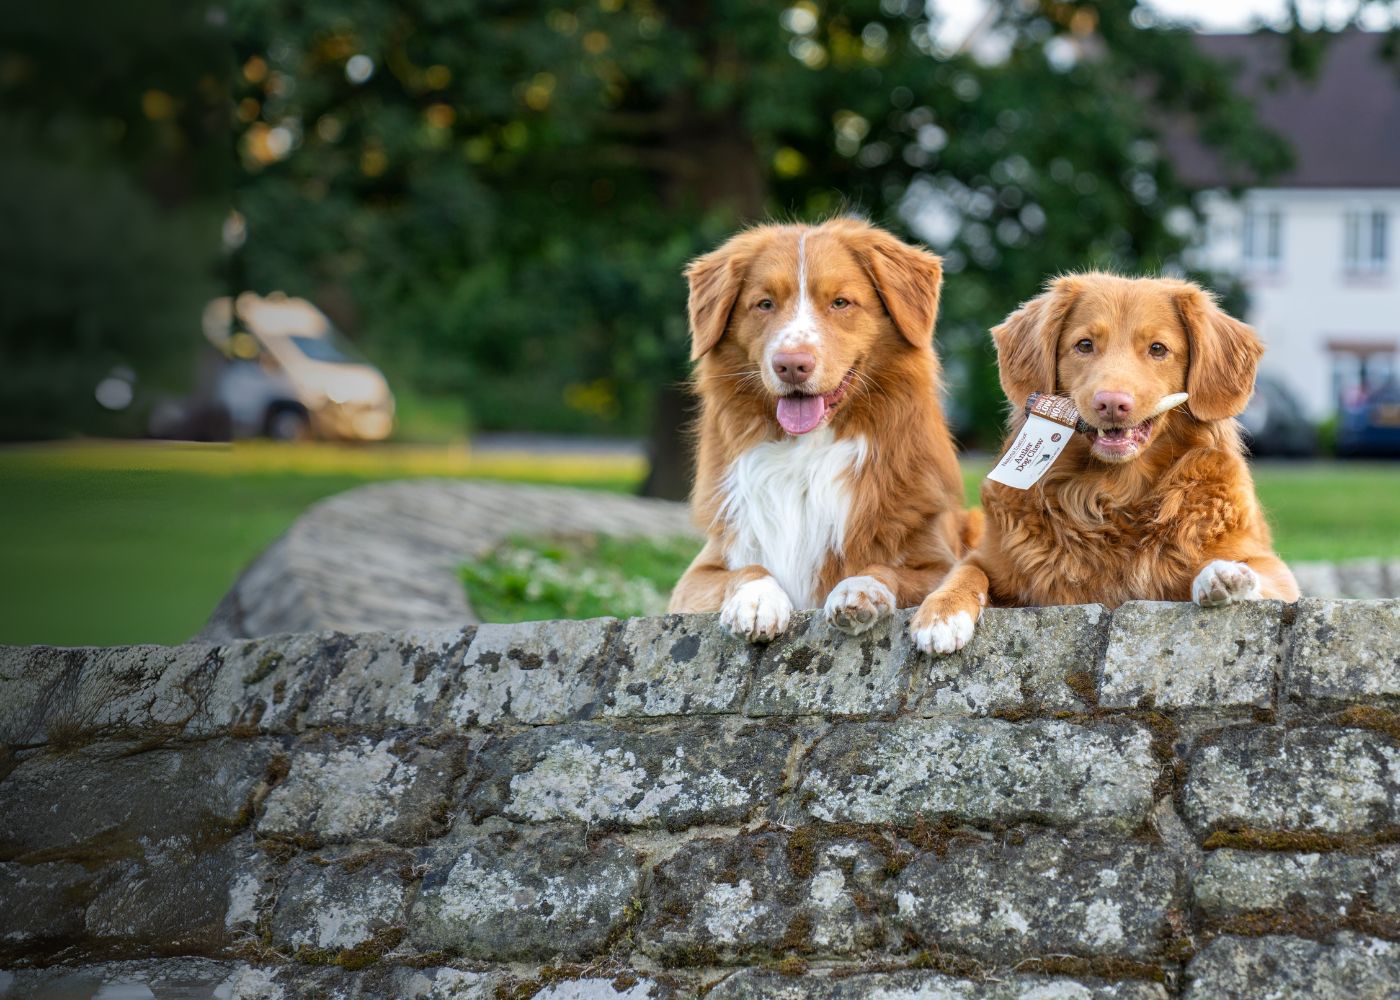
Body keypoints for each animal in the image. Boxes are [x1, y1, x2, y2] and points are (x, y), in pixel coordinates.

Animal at [669, 217, 974, 638]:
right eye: (764, 304)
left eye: (840, 302)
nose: (791, 364)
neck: (806, 454)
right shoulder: (699, 573)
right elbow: (745, 570)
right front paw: (757, 598)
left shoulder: (938, 562)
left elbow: (887, 570)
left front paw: (861, 588)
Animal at [907, 268, 1299, 649]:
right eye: (1084, 345)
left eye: (1158, 349)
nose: (1111, 402)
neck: (1113, 493)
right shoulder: (990, 557)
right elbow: (965, 572)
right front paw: (941, 614)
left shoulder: (1277, 574)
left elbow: (1252, 576)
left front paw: (1221, 576)